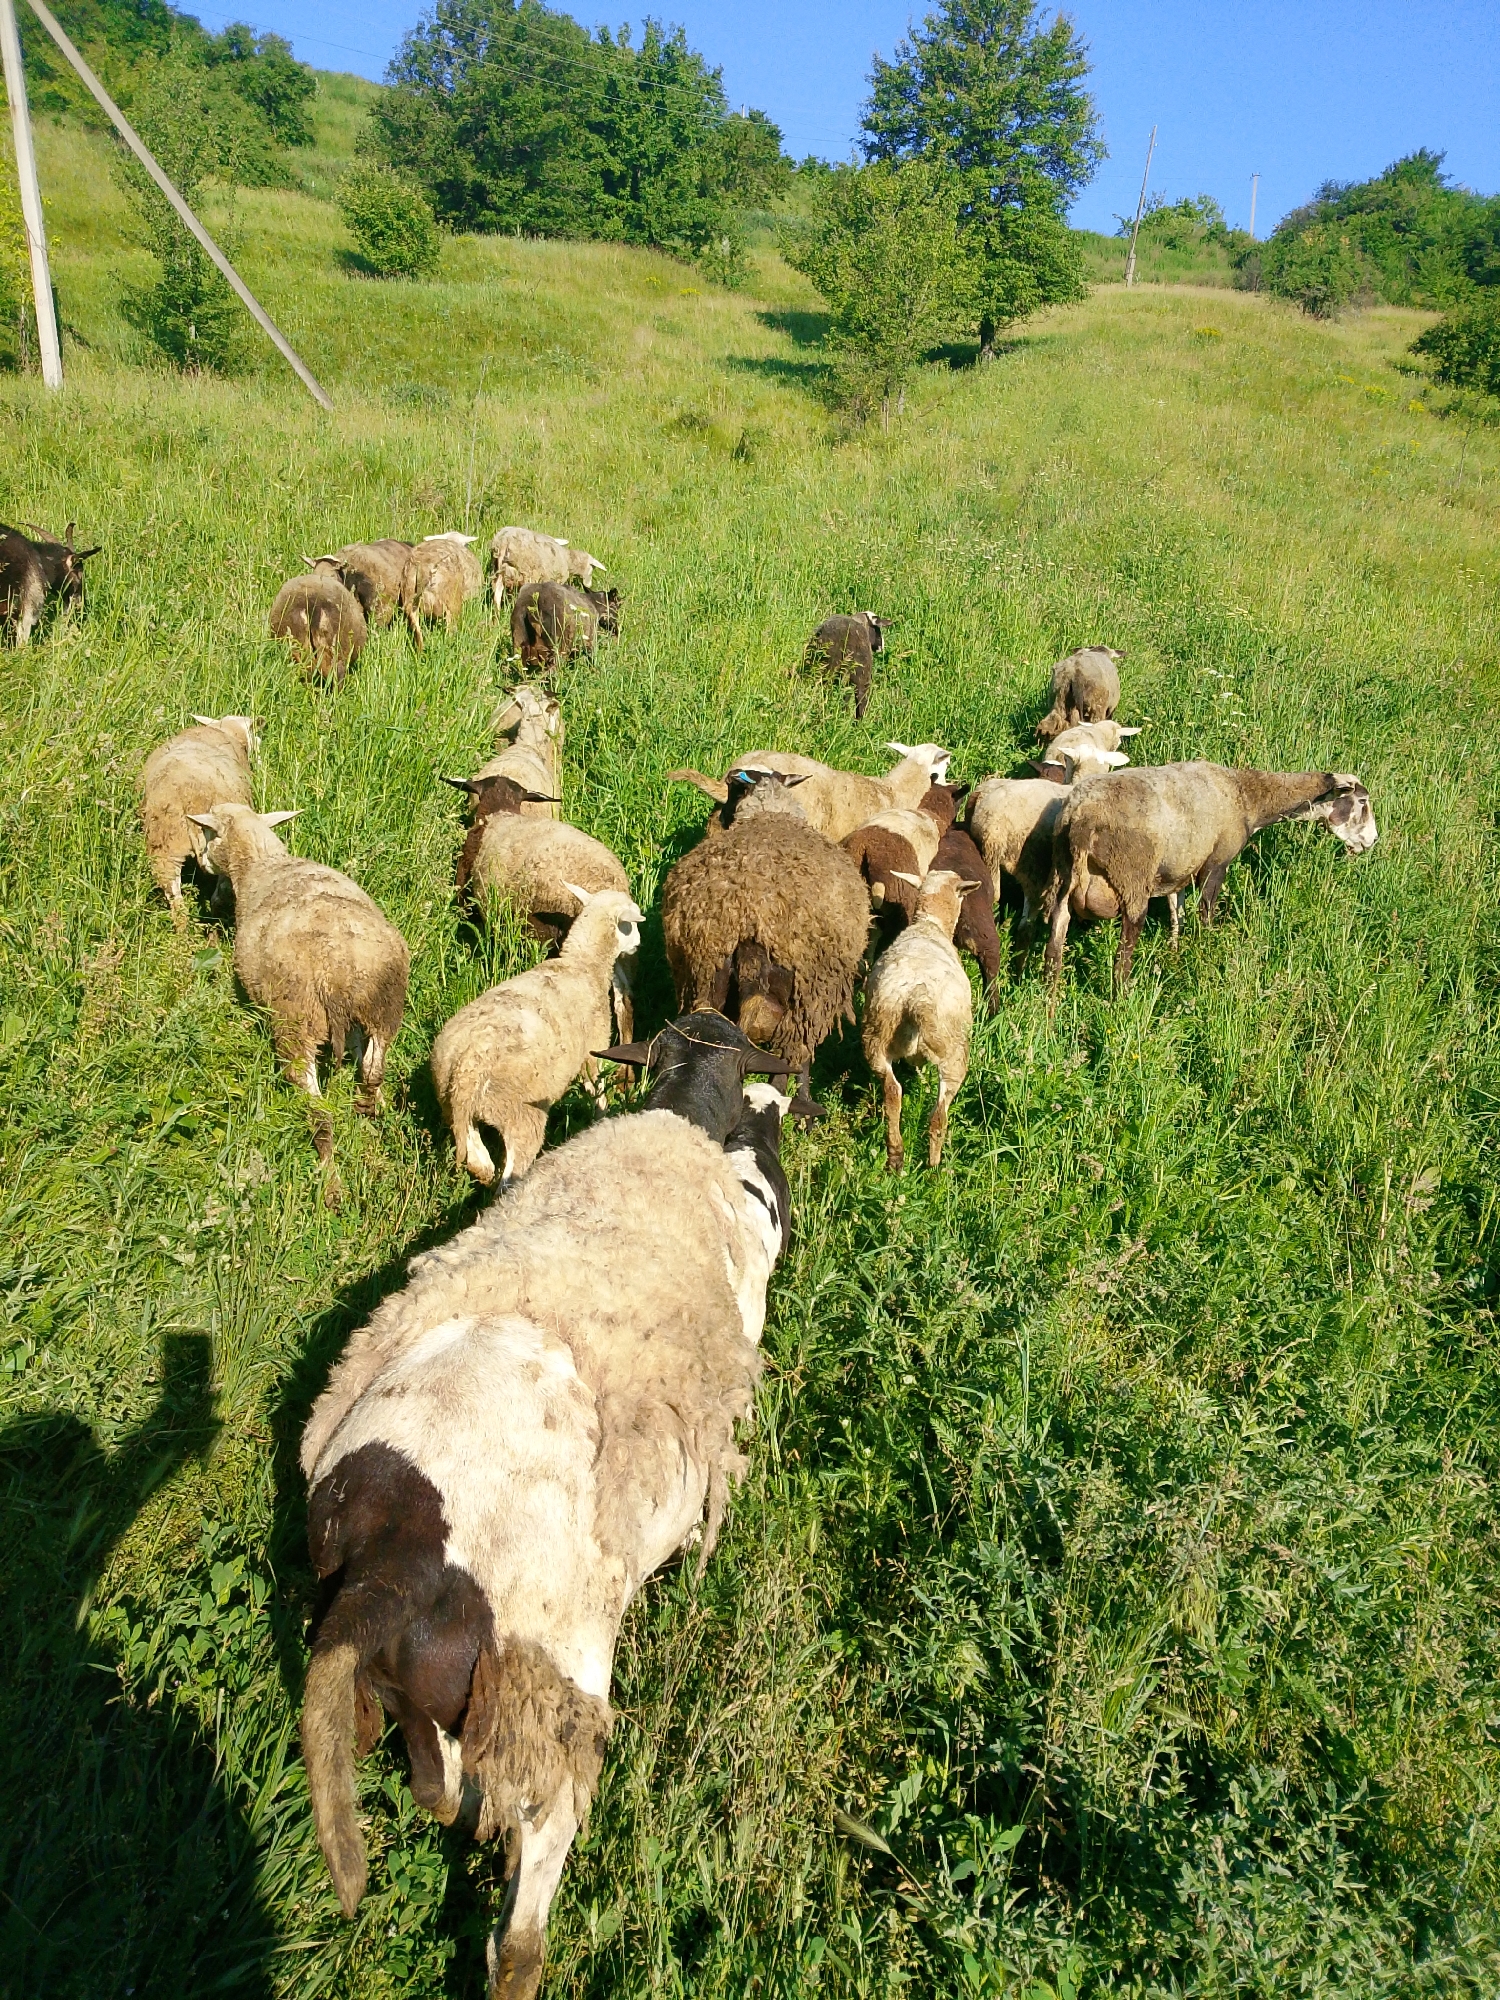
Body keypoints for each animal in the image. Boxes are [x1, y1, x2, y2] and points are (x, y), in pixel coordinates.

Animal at [185, 804, 409, 1125]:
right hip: (383, 1004)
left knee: (306, 1082)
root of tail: (333, 973)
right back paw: (371, 1106)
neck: (263, 861)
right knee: (372, 1066)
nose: (202, 861)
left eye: (206, 831)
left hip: (296, 1013)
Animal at [297, 1012, 794, 1998]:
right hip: (554, 1675)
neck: (677, 1115)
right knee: (530, 1881)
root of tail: (391, 1563)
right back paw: (519, 1948)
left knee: (441, 1787)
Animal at [431, 887, 643, 1185]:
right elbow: (596, 1089)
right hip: (519, 1114)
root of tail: (467, 1068)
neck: (583, 964)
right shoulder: (593, 1048)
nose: (638, 945)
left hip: (452, 1104)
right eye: (631, 923)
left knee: (478, 1160)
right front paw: (602, 1116)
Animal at [862, 869, 976, 1172]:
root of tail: (916, 998)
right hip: (953, 1052)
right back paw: (933, 1169)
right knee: (939, 1116)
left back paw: (896, 1156)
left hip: (877, 1036)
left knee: (892, 1092)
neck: (929, 924)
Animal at [1044, 762, 1379, 992]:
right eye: (1362, 803)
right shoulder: (1216, 865)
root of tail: (1082, 819)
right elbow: (1205, 914)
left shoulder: (1177, 874)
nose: (1372, 841)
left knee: (1054, 947)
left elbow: (1176, 917)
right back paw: (1122, 997)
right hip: (1131, 881)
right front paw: (1204, 955)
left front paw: (1175, 957)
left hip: (1062, 878)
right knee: (1123, 954)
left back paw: (1049, 1006)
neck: (1247, 797)